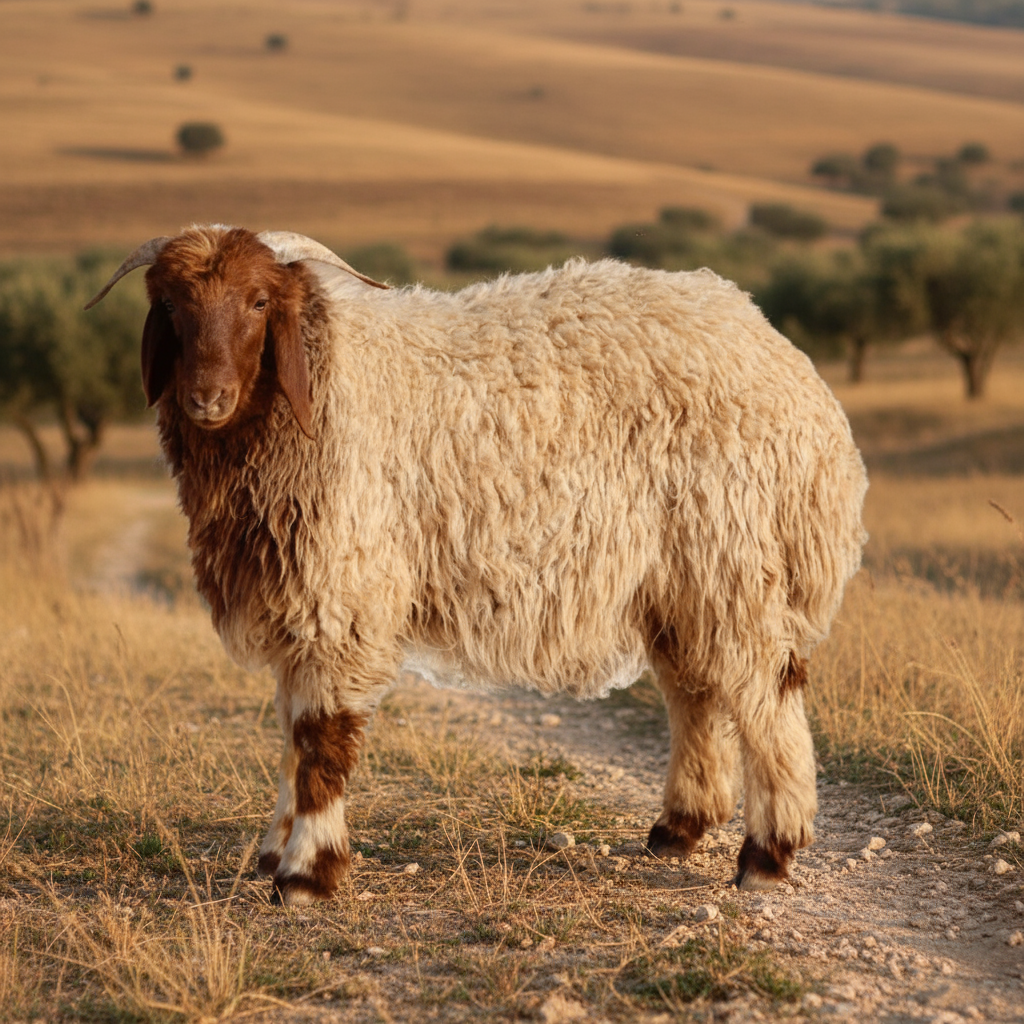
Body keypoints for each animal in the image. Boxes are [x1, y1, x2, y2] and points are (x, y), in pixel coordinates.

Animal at [87, 224, 868, 905]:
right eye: (170, 305)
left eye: (257, 302)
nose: (206, 398)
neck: (326, 378)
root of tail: (783, 359)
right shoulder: (298, 594)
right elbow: (289, 731)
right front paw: (276, 851)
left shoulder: (344, 591)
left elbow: (319, 739)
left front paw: (307, 873)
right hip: (681, 580)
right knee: (696, 690)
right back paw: (680, 828)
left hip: (730, 556)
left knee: (764, 692)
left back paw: (768, 852)